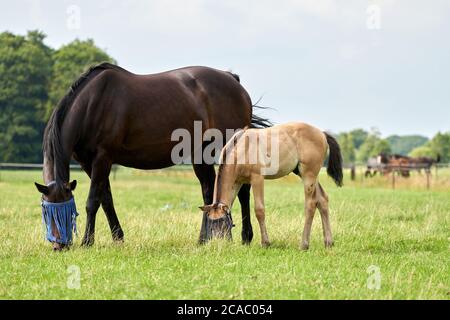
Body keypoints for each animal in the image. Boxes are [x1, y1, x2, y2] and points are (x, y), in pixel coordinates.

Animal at [34, 63, 270, 250]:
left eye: (65, 210)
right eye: (46, 211)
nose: (59, 246)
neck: (92, 105)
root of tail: (232, 79)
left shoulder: (102, 158)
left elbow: (93, 201)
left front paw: (87, 242)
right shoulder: (88, 163)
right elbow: (106, 199)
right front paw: (118, 238)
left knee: (242, 191)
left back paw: (246, 237)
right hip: (200, 153)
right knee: (208, 190)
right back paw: (206, 239)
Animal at [199, 122, 342, 250]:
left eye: (223, 224)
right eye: (211, 225)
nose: (218, 244)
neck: (241, 149)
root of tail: (322, 134)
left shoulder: (257, 179)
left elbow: (259, 210)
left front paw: (265, 243)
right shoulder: (237, 182)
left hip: (308, 175)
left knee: (311, 204)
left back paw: (304, 244)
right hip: (305, 174)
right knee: (322, 200)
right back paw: (329, 242)